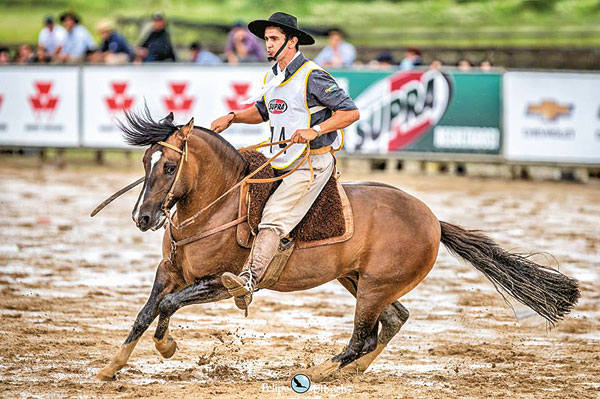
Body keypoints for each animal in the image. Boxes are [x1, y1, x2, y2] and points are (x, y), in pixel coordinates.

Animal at [96, 108, 580, 382]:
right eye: (146, 161)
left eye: (170, 166)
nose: (143, 217)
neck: (219, 203)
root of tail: (433, 221)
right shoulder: (170, 272)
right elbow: (146, 313)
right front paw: (111, 367)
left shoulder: (221, 283)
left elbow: (168, 305)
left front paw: (166, 347)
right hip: (360, 281)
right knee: (393, 321)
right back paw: (353, 372)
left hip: (372, 286)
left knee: (362, 337)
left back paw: (317, 370)